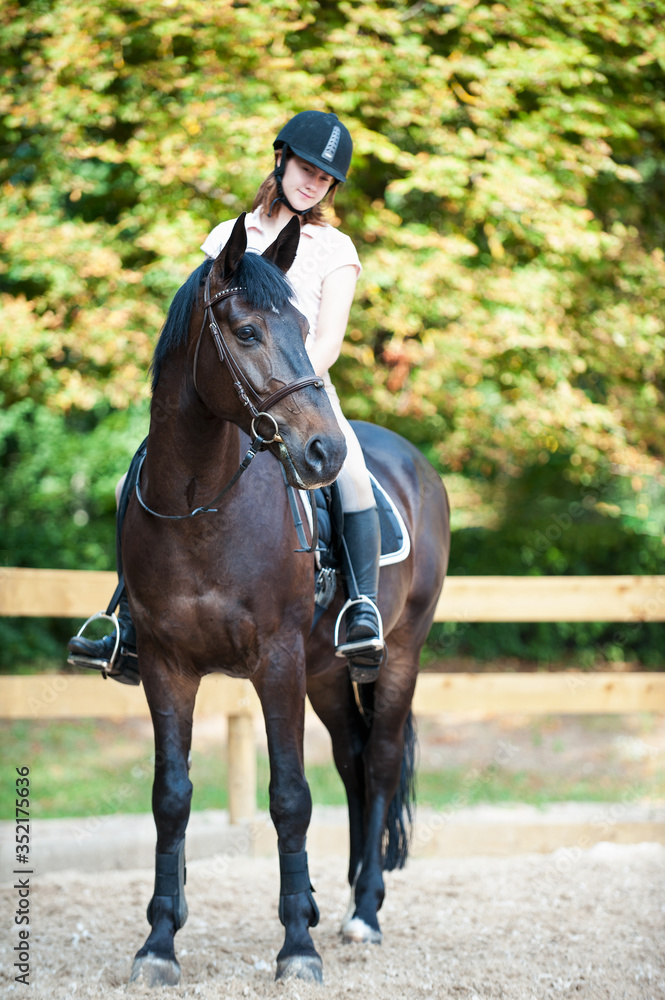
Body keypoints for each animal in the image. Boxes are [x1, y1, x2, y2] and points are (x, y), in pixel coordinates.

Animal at [121, 211, 448, 984]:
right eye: (244, 331)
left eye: (303, 325)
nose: (324, 452)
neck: (200, 502)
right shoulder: (164, 665)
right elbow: (171, 798)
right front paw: (159, 942)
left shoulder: (275, 662)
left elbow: (291, 797)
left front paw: (297, 944)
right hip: (326, 673)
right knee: (353, 760)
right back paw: (346, 897)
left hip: (397, 654)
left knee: (379, 759)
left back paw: (364, 912)